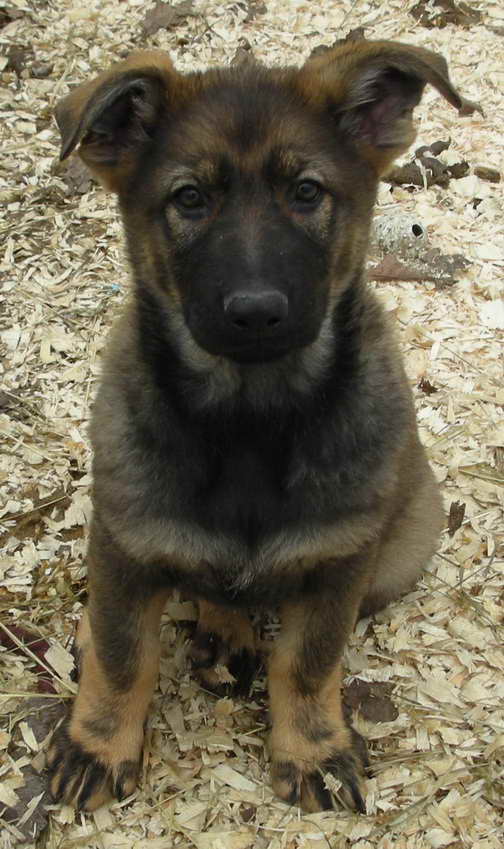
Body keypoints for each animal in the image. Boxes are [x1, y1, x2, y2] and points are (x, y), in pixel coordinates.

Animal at [45, 43, 478, 812]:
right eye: (190, 199)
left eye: (306, 192)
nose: (255, 312)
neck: (249, 416)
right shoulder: (125, 543)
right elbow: (123, 657)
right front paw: (97, 742)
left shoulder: (340, 561)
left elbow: (307, 664)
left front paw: (313, 749)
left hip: (397, 554)